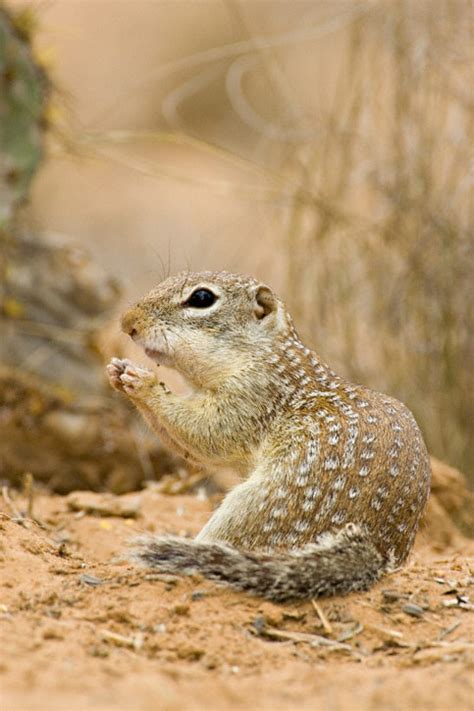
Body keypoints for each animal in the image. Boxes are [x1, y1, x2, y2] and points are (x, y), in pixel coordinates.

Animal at [106, 272, 430, 600]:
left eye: (201, 298)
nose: (127, 322)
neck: (264, 354)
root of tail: (378, 551)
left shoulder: (255, 395)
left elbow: (207, 433)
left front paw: (144, 383)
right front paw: (116, 371)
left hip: (255, 509)